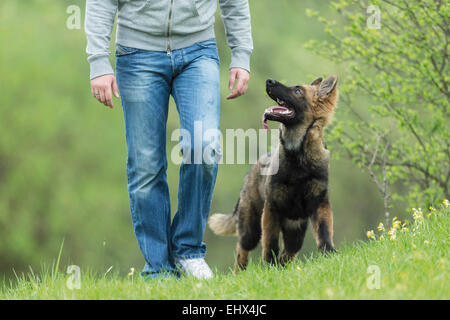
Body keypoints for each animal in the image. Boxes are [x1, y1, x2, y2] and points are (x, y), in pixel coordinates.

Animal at [208, 75, 338, 272]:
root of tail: (250, 172)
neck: (298, 155)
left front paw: (329, 254)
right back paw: (242, 272)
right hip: (251, 228)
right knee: (241, 251)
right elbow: (270, 242)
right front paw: (269, 265)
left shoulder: (320, 203)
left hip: (295, 228)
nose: (269, 81)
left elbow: (324, 233)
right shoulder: (272, 208)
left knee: (291, 250)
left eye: (298, 91)